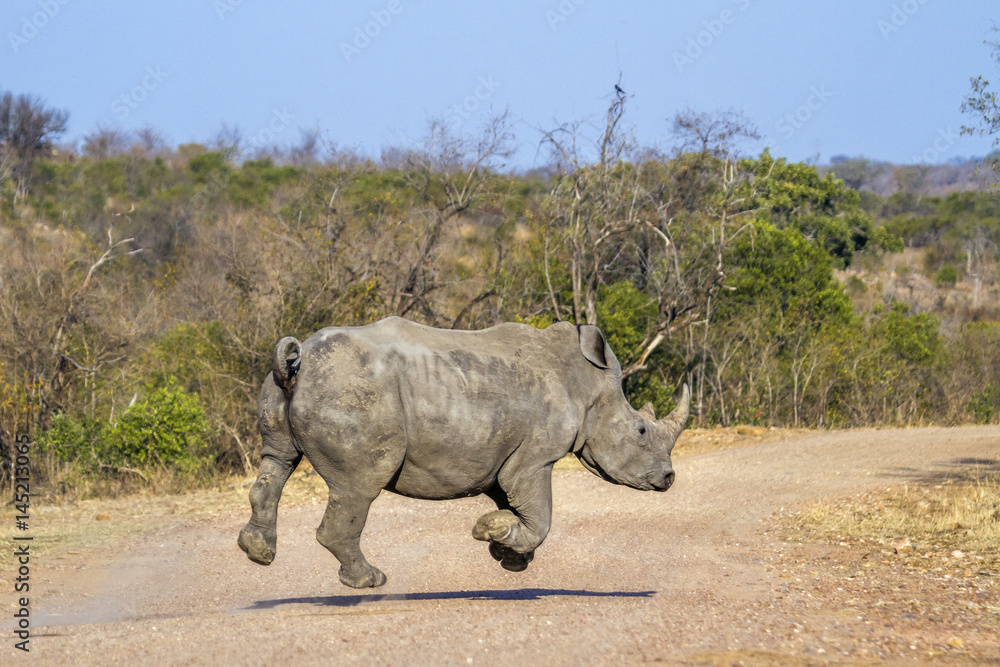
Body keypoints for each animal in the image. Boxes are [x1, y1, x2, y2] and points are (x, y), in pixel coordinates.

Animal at [238, 316, 689, 588]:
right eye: (641, 430)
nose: (668, 479)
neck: (587, 384)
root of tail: (300, 361)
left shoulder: (500, 454)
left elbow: (522, 509)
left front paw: (508, 554)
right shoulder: (534, 457)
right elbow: (541, 516)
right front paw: (489, 533)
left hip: (291, 388)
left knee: (278, 460)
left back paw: (258, 553)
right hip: (350, 390)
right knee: (360, 486)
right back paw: (371, 581)